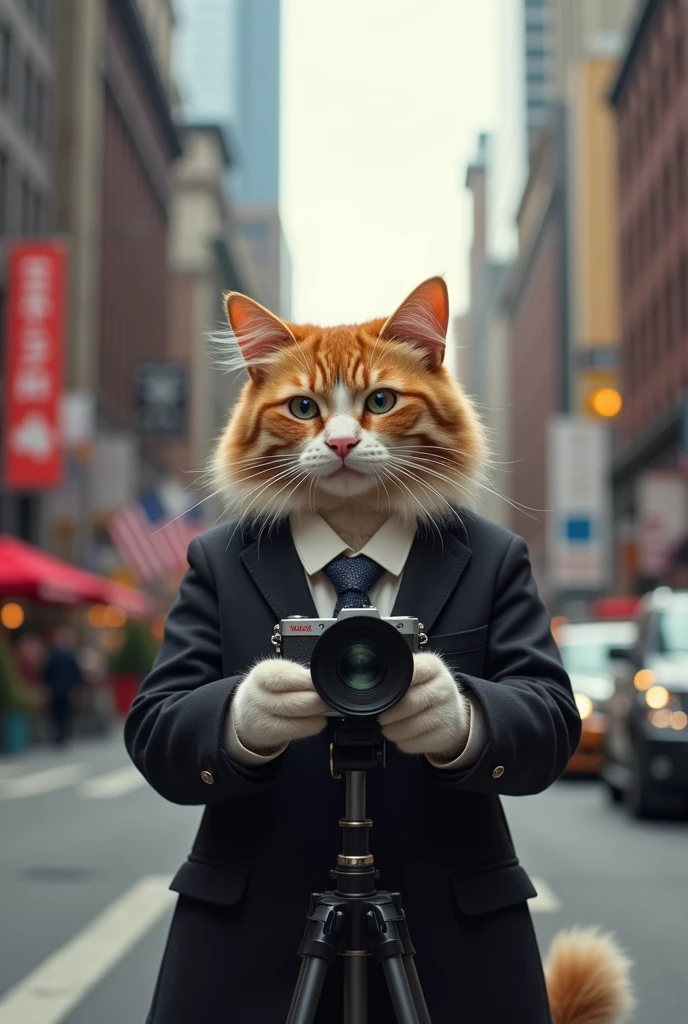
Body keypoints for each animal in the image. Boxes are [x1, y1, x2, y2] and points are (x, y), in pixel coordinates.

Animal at [124, 276, 634, 1019]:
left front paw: (441, 710)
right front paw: (265, 705)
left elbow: (546, 708)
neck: (354, 534)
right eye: (303, 408)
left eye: (382, 402)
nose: (340, 444)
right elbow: (160, 715)